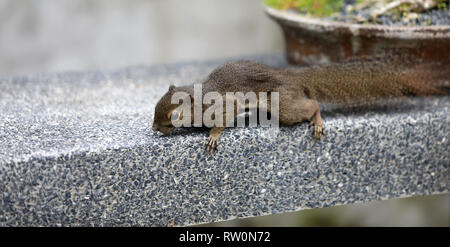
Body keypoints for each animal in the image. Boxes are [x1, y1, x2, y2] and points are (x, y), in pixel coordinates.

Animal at [153, 57, 448, 152]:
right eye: (156, 105)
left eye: (174, 115)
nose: (155, 128)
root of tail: (292, 78)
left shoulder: (225, 105)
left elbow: (224, 120)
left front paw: (213, 136)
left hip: (283, 105)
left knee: (312, 103)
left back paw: (317, 121)